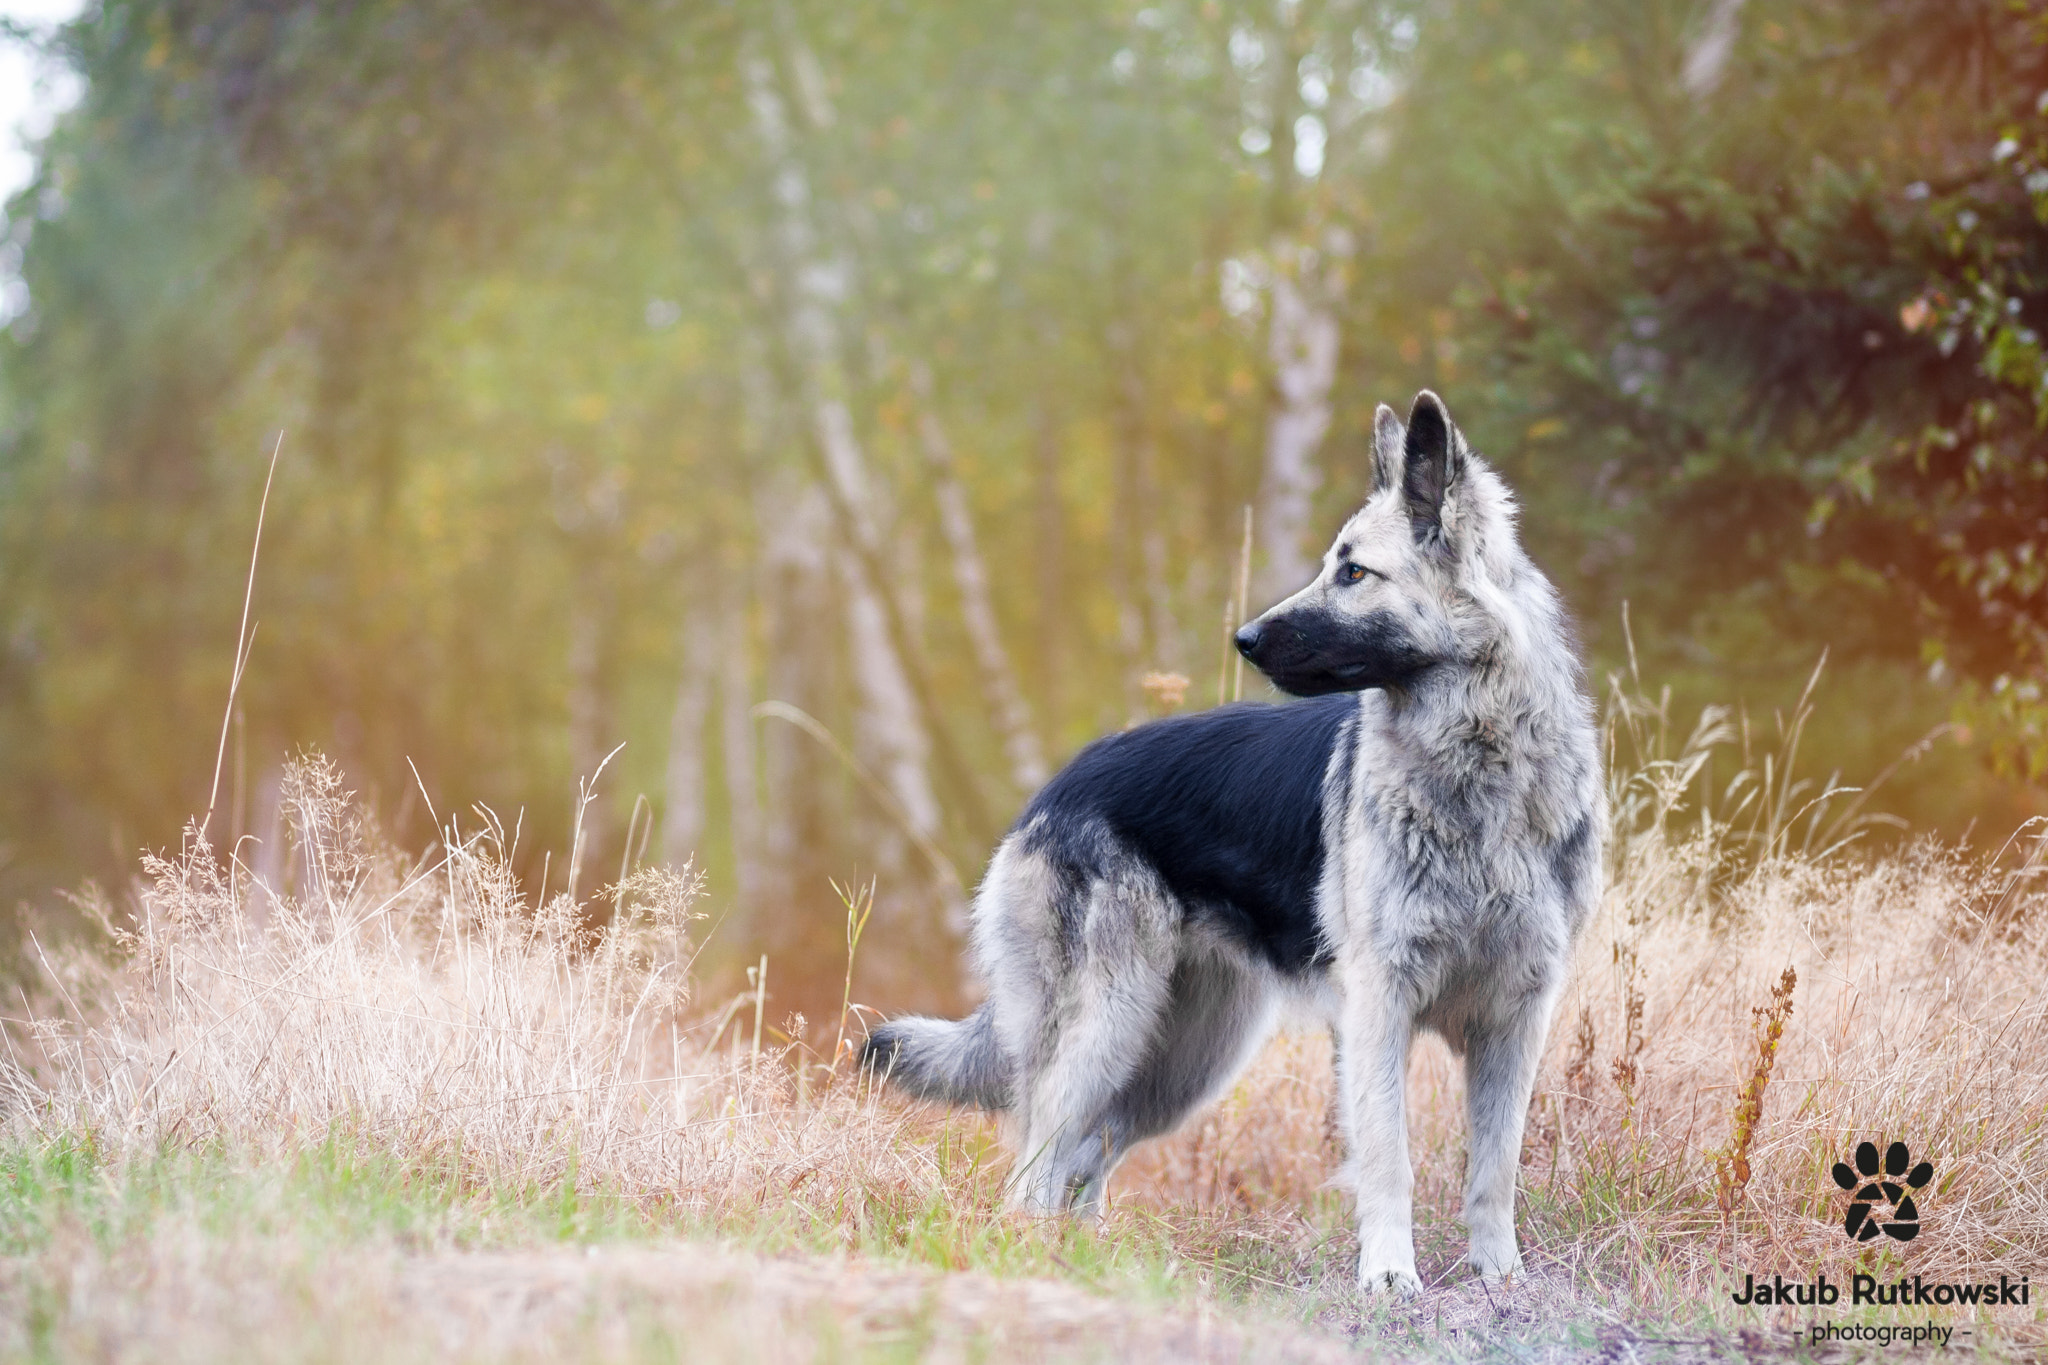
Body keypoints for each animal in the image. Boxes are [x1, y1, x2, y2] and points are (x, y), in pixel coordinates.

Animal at [860, 388, 1597, 1301]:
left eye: (1355, 573)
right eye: (1333, 565)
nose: (1243, 637)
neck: (1479, 773)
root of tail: (1056, 785)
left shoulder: (1516, 1018)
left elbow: (1494, 1168)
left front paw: (1502, 1276)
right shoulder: (1378, 1011)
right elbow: (1388, 1159)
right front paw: (1391, 1275)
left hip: (1179, 1062)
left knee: (1081, 1161)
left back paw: (1091, 1263)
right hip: (1110, 1026)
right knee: (1035, 1166)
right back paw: (1036, 1263)